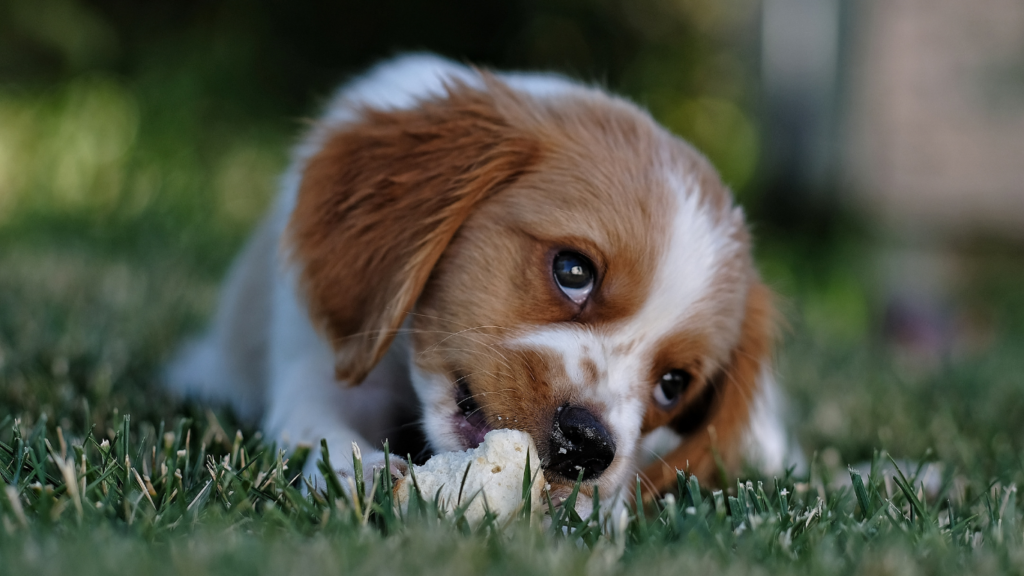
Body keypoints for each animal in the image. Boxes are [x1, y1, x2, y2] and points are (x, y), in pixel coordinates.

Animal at [165, 54, 790, 502]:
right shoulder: (319, 365)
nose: (589, 446)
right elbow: (318, 427)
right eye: (573, 270)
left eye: (673, 385)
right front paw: (367, 471)